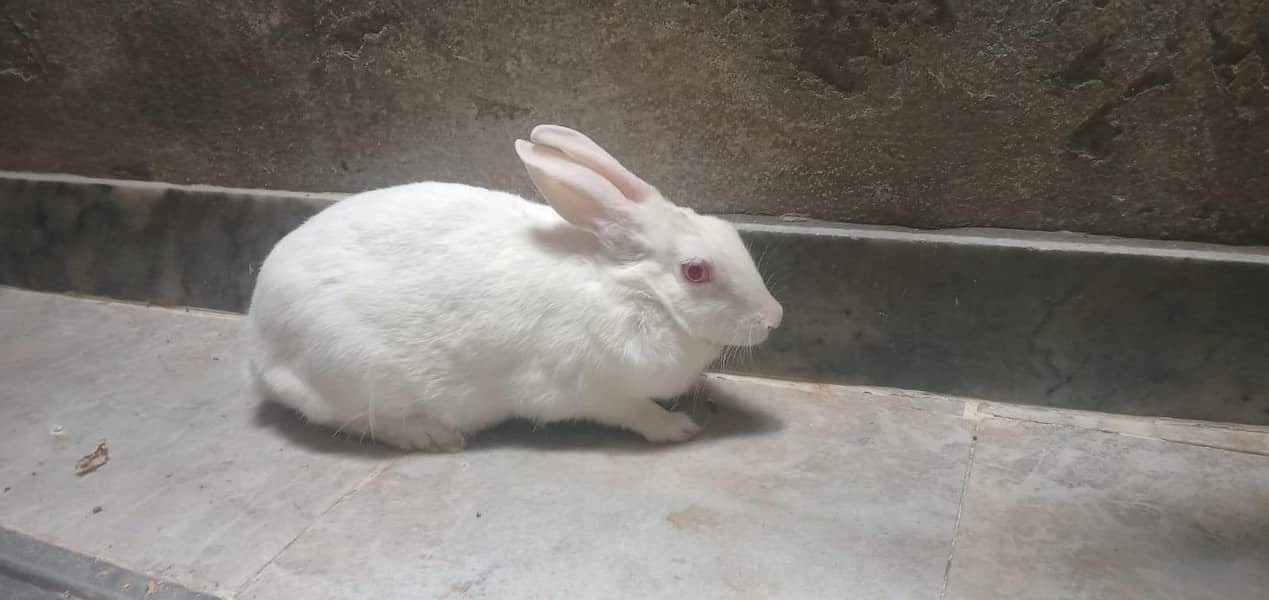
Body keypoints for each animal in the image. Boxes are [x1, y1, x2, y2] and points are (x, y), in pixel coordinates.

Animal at [245, 125, 783, 451]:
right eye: (695, 272)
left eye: (726, 230)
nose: (773, 317)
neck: (634, 293)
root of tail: (260, 342)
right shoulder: (595, 391)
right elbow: (636, 411)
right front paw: (678, 427)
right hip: (354, 377)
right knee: (357, 420)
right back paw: (433, 437)